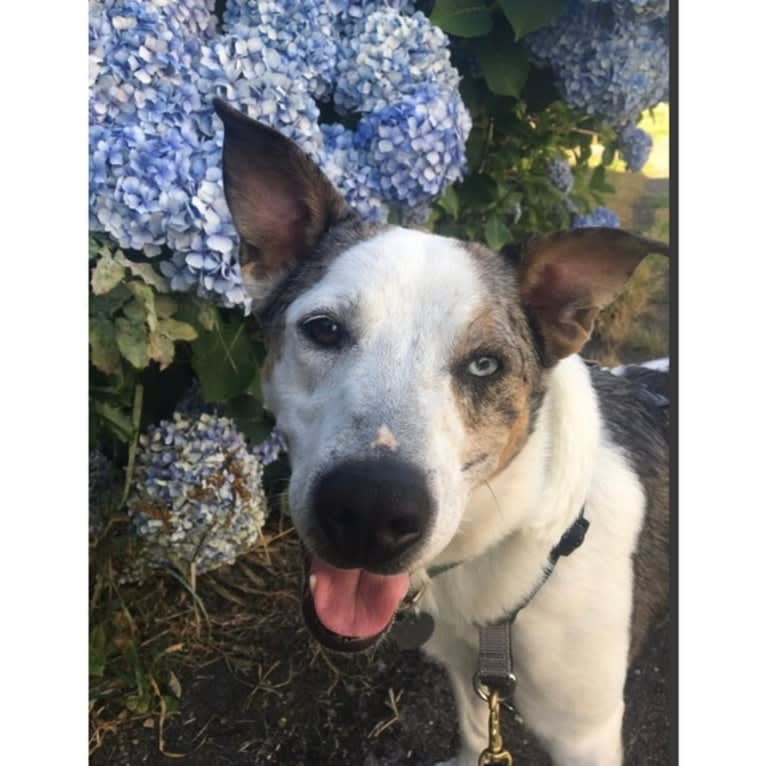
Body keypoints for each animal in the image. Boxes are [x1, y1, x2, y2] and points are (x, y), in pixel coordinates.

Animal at [213, 100, 668, 766]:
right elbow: (478, 731)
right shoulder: (464, 667)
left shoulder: (585, 733)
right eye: (323, 330)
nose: (371, 512)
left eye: (485, 365)